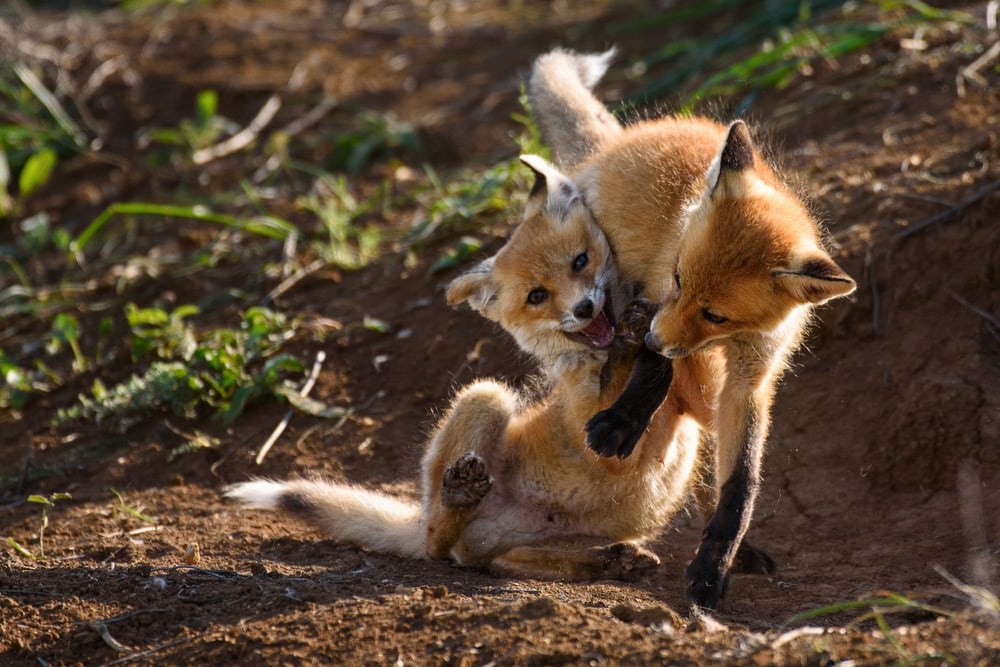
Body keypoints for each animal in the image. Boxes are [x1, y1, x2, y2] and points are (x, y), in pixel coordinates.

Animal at [225, 175, 706, 581]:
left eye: (580, 261)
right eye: (537, 296)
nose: (584, 309)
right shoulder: (601, 443)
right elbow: (619, 395)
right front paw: (628, 357)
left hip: (539, 540)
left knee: (500, 562)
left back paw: (610, 561)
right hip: (486, 397)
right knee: (438, 546)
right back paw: (457, 501)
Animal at [525, 48, 857, 609]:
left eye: (716, 314)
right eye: (680, 278)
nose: (653, 338)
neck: (729, 338)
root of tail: (620, 141)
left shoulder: (751, 377)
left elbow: (740, 485)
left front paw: (715, 563)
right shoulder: (662, 300)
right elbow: (655, 373)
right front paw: (622, 421)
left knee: (703, 455)